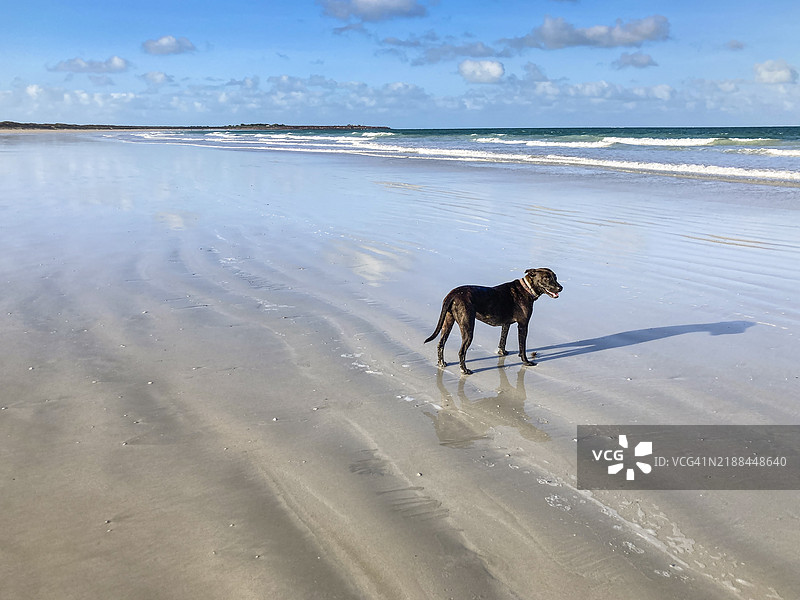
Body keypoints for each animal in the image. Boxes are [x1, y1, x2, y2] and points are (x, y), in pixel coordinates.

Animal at [424, 268, 562, 375]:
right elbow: (522, 347)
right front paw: (526, 362)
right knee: (461, 351)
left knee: (440, 344)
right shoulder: (523, 325)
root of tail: (453, 294)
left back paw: (441, 363)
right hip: (468, 328)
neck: (526, 289)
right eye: (546, 278)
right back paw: (464, 370)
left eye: (555, 277)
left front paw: (502, 352)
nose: (560, 287)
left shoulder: (506, 324)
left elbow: (503, 340)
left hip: (448, 322)